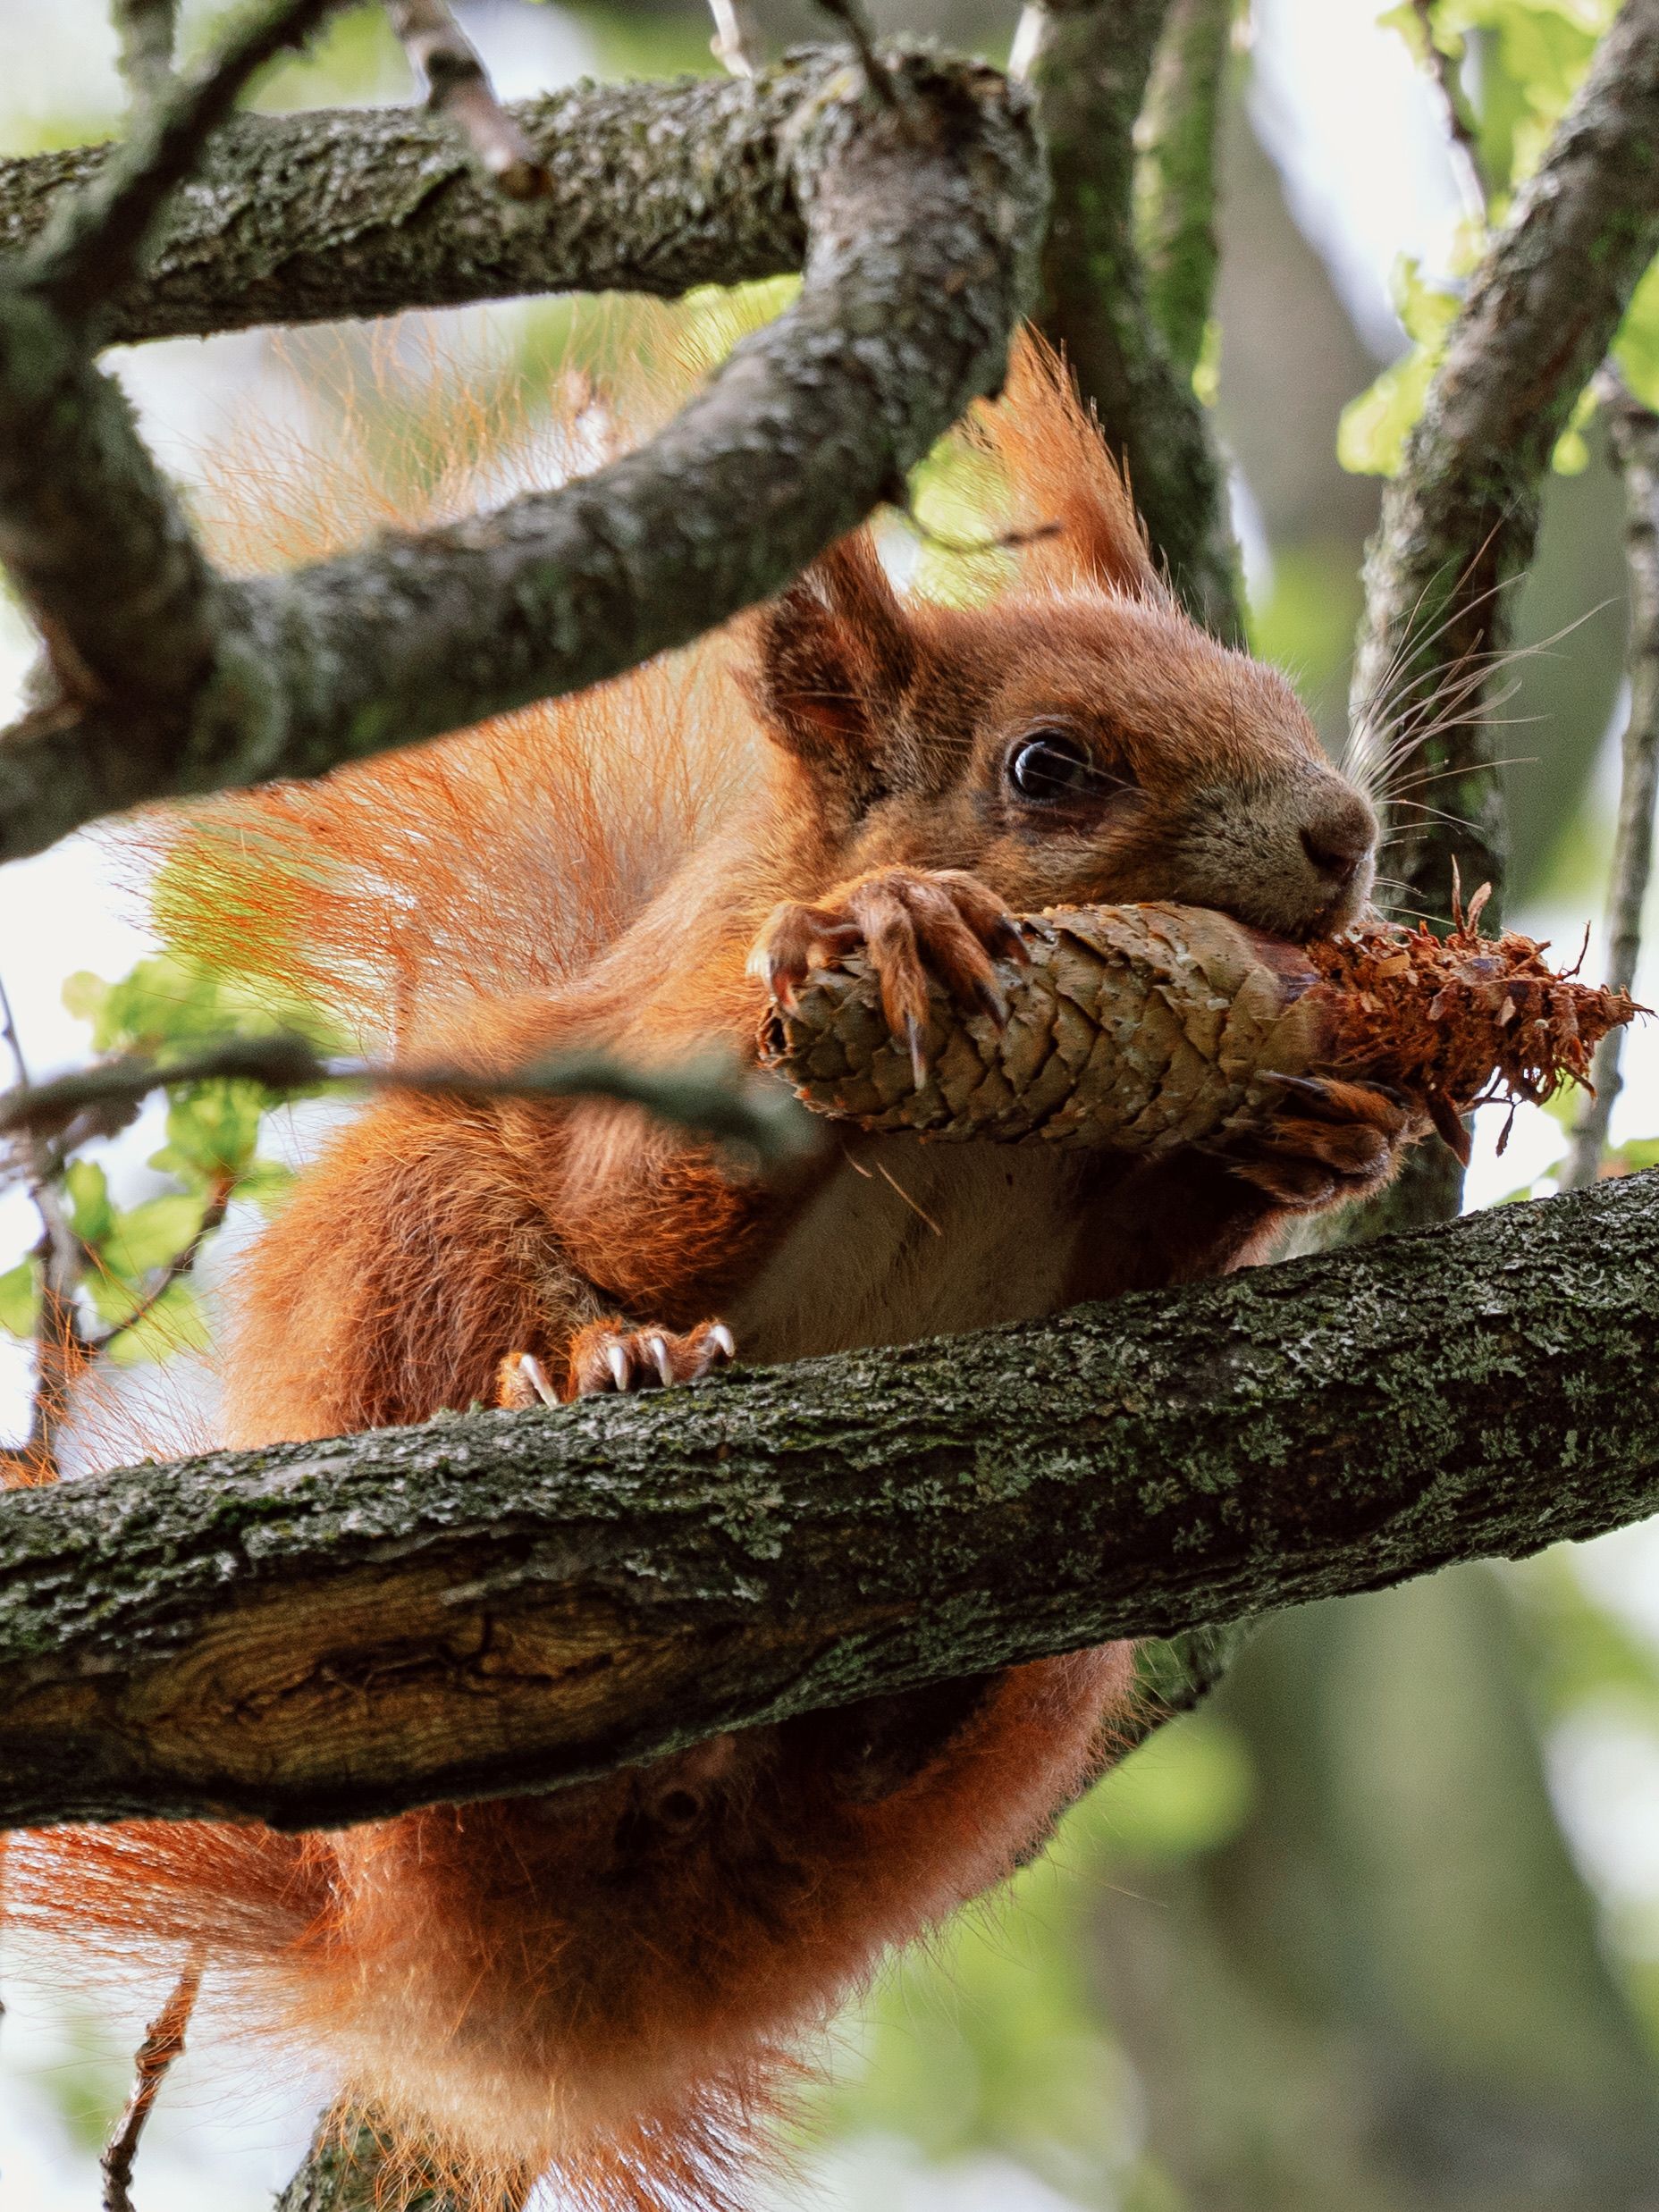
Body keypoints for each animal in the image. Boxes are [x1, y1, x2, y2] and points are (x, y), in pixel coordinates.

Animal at [4, 334, 1407, 2210]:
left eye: (1269, 686)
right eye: (1048, 768)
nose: (1346, 832)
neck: (986, 1142)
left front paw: (1315, 1130)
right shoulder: (636, 1057)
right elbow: (631, 1198)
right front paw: (880, 934)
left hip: (1052, 1674)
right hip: (421, 1249)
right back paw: (591, 1373)